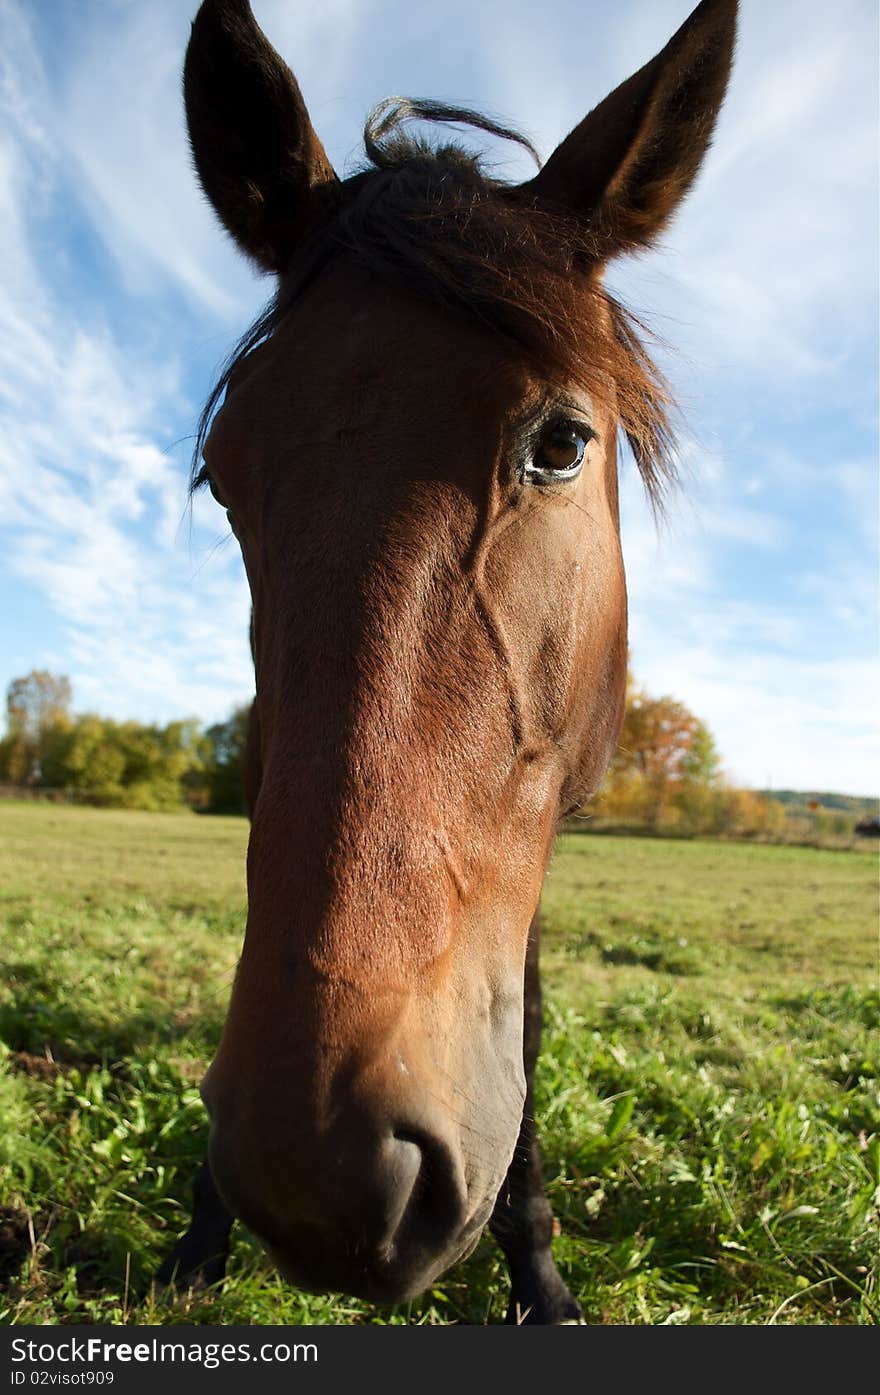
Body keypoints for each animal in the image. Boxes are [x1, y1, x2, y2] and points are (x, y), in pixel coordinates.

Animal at [161, 0, 741, 1316]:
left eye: (563, 443)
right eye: (222, 476)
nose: (318, 1178)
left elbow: (520, 1016)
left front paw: (538, 1267)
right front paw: (202, 1226)